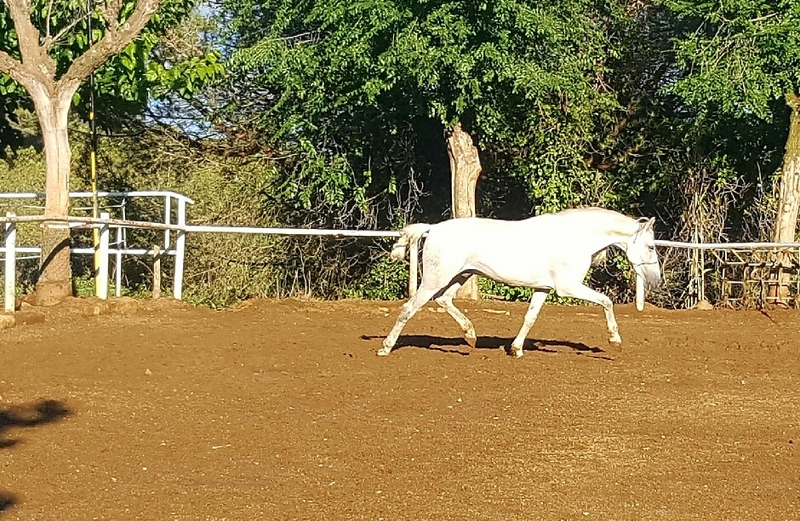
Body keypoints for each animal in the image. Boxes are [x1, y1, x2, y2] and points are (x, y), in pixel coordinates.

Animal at [378, 207, 661, 357]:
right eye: (650, 246)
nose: (656, 279)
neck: (576, 238)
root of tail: (433, 228)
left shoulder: (543, 288)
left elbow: (530, 317)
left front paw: (516, 349)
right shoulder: (567, 287)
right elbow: (606, 301)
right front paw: (615, 339)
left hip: (460, 275)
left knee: (444, 300)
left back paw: (470, 336)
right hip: (435, 279)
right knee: (409, 308)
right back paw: (386, 348)